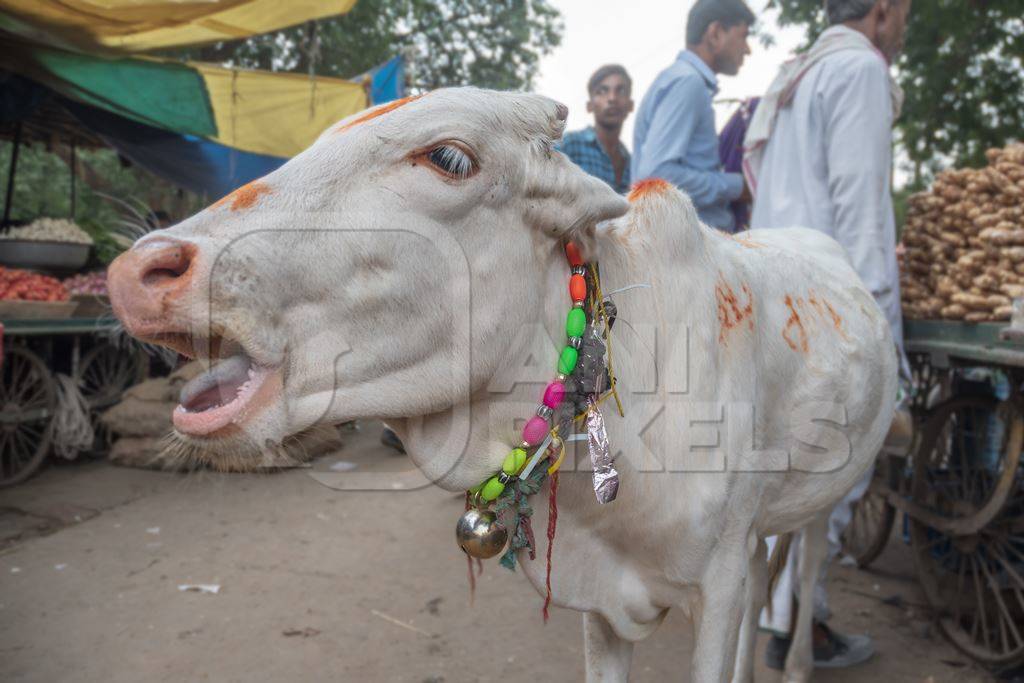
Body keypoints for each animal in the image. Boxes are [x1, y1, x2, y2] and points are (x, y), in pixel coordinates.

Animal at [108, 88, 892, 679]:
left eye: (449, 157)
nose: (137, 273)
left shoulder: (718, 586)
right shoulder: (602, 605)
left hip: (829, 499)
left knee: (805, 567)